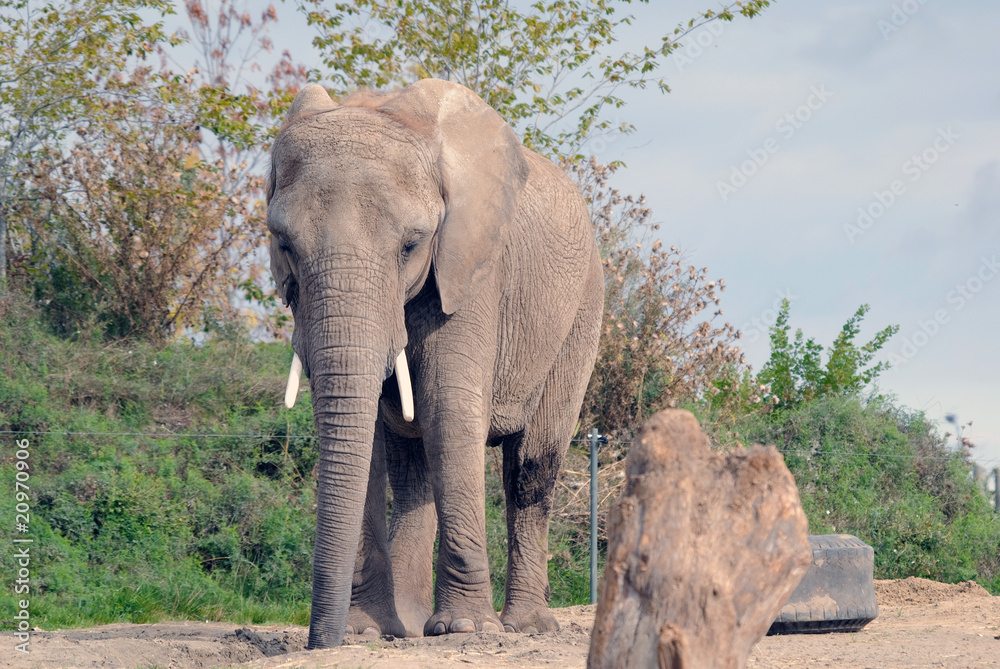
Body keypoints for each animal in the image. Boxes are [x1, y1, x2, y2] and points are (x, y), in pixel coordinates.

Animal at [266, 78, 603, 650]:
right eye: (283, 243)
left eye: (412, 245)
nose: (319, 642)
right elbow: (371, 440)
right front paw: (363, 632)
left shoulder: (471, 270)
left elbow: (450, 414)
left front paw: (465, 628)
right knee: (412, 472)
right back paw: (406, 627)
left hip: (582, 313)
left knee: (531, 469)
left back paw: (523, 626)